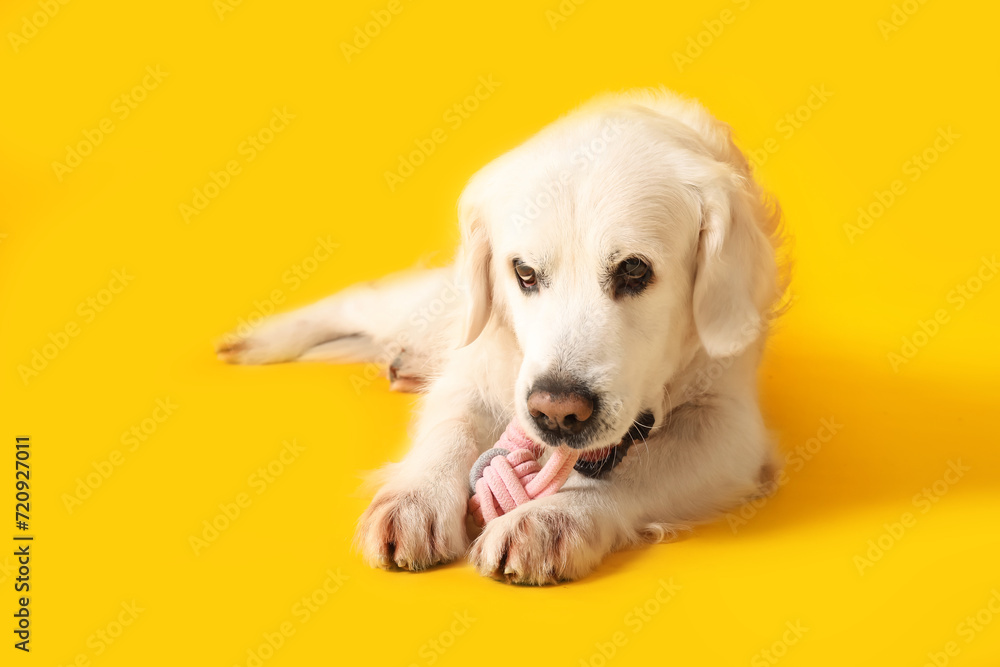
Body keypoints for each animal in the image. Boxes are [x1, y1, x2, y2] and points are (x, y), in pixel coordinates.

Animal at [219, 87, 788, 584]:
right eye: (525, 273)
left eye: (634, 270)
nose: (557, 413)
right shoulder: (475, 368)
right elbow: (450, 427)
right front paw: (416, 498)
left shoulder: (728, 426)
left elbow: (634, 472)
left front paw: (549, 519)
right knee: (365, 298)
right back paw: (259, 339)